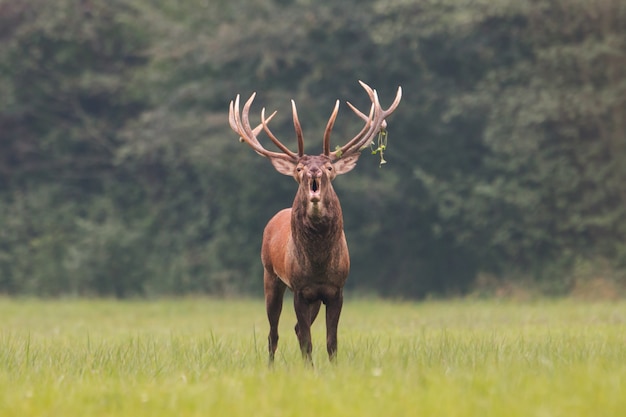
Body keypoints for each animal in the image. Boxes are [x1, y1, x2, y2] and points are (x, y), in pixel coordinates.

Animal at [228, 80, 400, 360]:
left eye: (330, 167)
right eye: (299, 168)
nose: (313, 171)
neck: (319, 264)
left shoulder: (335, 290)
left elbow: (331, 341)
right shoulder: (300, 289)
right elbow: (307, 341)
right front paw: (309, 366)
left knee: (297, 329)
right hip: (270, 276)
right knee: (274, 333)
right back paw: (270, 364)